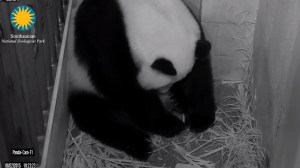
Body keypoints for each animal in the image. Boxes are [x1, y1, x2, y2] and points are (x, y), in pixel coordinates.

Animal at [68, 0, 216, 161]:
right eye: (164, 83)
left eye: (174, 83)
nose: (165, 92)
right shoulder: (103, 37)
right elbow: (124, 87)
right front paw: (170, 124)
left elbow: (198, 76)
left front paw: (199, 119)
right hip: (80, 81)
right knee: (99, 115)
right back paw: (141, 144)